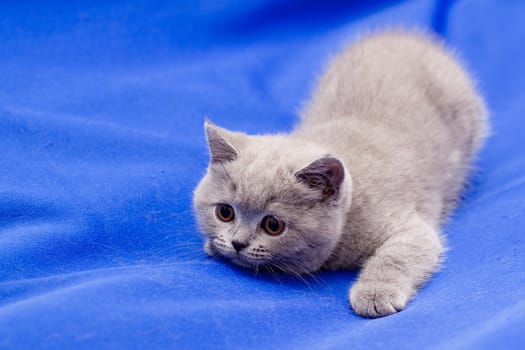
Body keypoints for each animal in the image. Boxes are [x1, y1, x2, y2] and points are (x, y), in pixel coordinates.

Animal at [191, 31, 488, 318]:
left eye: (273, 225)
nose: (237, 243)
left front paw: (375, 293)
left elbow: (398, 255)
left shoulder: (412, 229)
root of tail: (407, 35)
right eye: (225, 212)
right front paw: (215, 245)